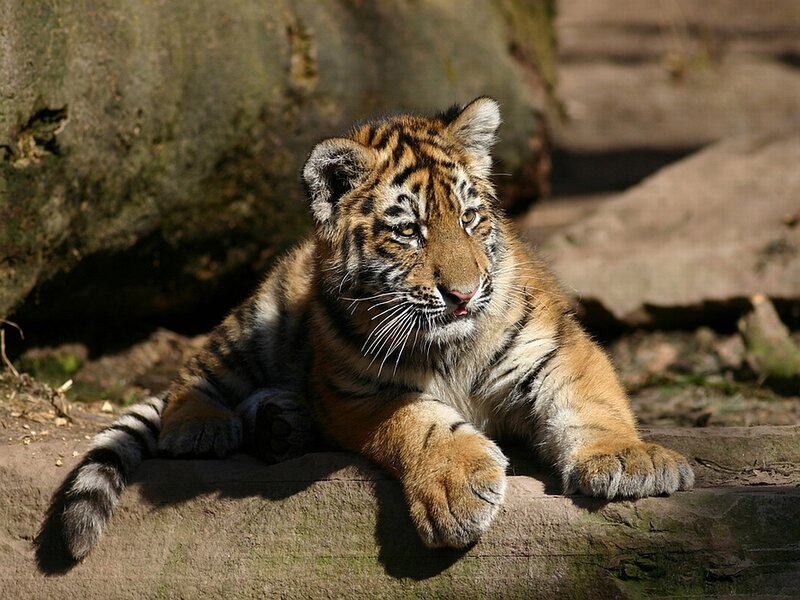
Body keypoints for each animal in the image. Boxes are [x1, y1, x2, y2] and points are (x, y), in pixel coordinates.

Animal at [50, 97, 693, 560]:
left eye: (470, 218)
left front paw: (633, 462)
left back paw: (281, 424)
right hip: (260, 317)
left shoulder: (557, 347)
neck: (448, 347)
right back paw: (202, 426)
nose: (464, 295)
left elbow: (592, 403)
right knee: (198, 370)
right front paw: (458, 489)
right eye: (408, 232)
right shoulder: (356, 391)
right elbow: (421, 426)